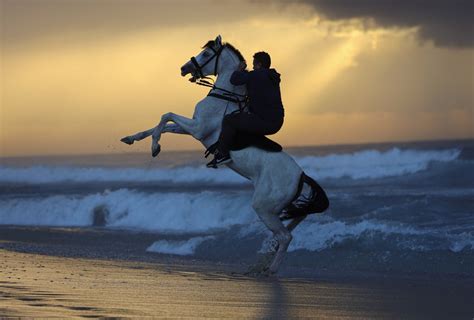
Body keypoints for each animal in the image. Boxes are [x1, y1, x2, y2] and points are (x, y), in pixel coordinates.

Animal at [120, 35, 328, 276]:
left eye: (206, 54)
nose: (183, 68)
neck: (223, 96)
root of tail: (301, 177)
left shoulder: (198, 129)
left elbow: (166, 116)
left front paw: (154, 147)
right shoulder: (192, 128)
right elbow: (162, 125)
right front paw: (133, 138)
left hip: (264, 207)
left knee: (285, 237)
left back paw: (269, 271)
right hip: (284, 210)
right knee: (287, 231)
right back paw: (264, 264)